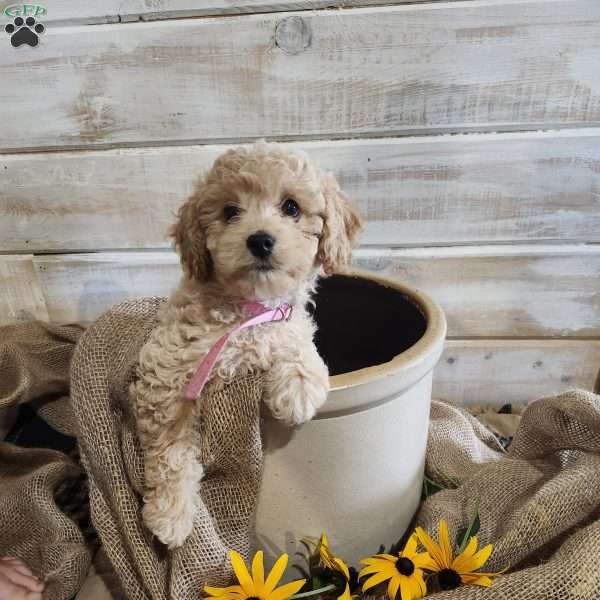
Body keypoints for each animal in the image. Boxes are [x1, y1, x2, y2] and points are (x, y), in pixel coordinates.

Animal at [131, 141, 360, 548]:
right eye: (229, 212)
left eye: (291, 207)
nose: (260, 240)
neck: (249, 309)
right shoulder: (166, 377)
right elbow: (171, 450)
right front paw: (171, 514)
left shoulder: (284, 320)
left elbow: (295, 337)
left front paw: (299, 388)